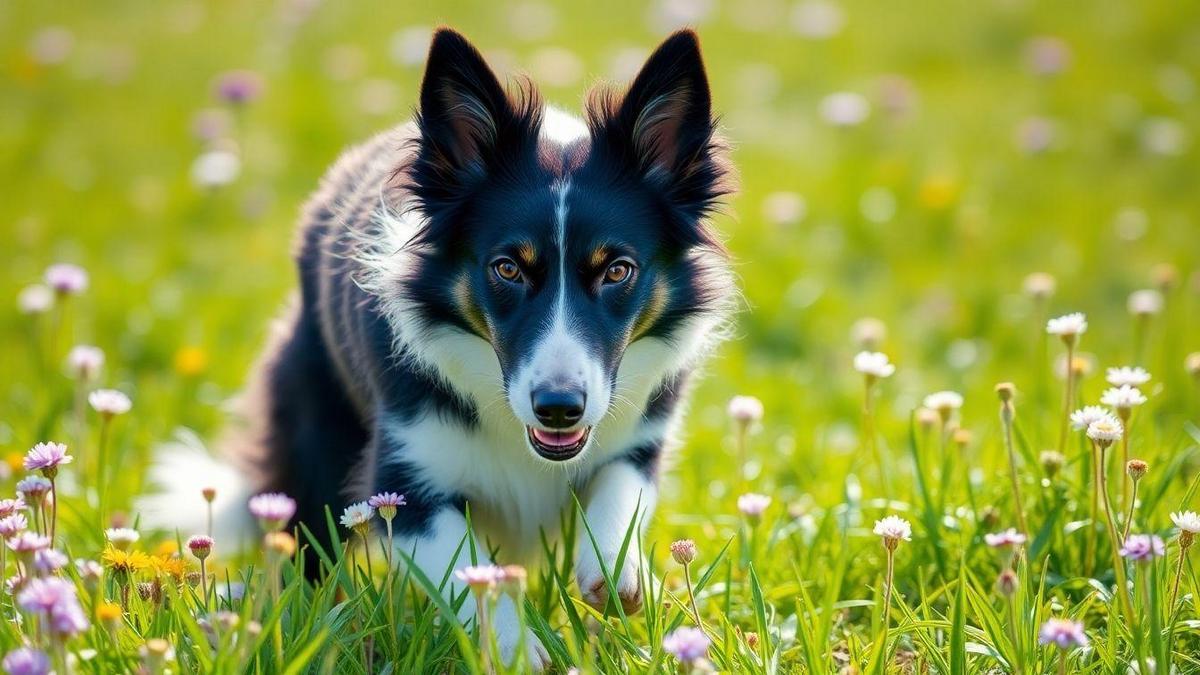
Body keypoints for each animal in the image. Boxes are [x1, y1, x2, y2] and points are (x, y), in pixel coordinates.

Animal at [141, 26, 729, 667]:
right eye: (506, 268)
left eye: (618, 270)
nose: (558, 409)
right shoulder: (405, 476)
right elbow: (468, 568)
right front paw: (516, 648)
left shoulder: (640, 436)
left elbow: (622, 488)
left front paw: (617, 572)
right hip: (316, 437)